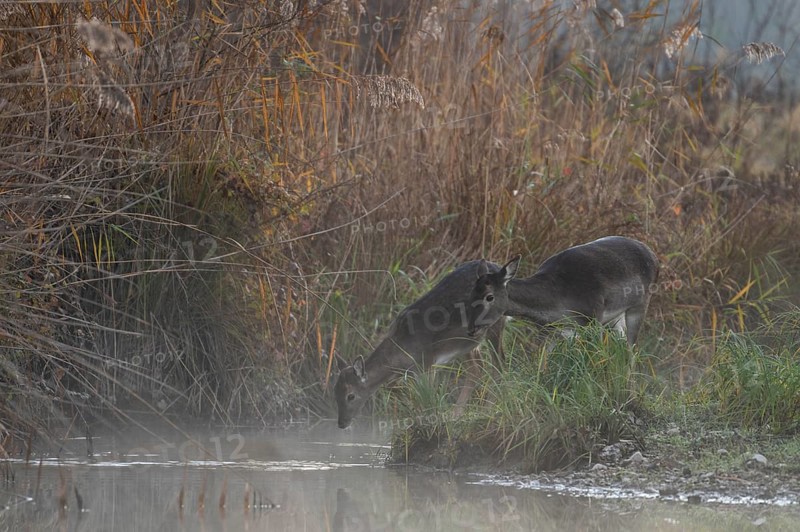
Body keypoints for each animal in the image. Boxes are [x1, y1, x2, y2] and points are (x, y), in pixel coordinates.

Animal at [334, 260, 507, 429]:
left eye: (351, 395)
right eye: (334, 393)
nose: (341, 423)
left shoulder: (427, 361)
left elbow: (428, 397)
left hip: (494, 325)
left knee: (498, 364)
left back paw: (487, 410)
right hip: (469, 343)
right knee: (477, 369)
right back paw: (457, 414)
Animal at [467, 236, 659, 347]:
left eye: (489, 297)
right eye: (470, 293)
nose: (471, 329)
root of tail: (653, 254)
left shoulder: (593, 319)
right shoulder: (547, 330)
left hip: (640, 304)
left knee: (632, 348)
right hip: (615, 318)